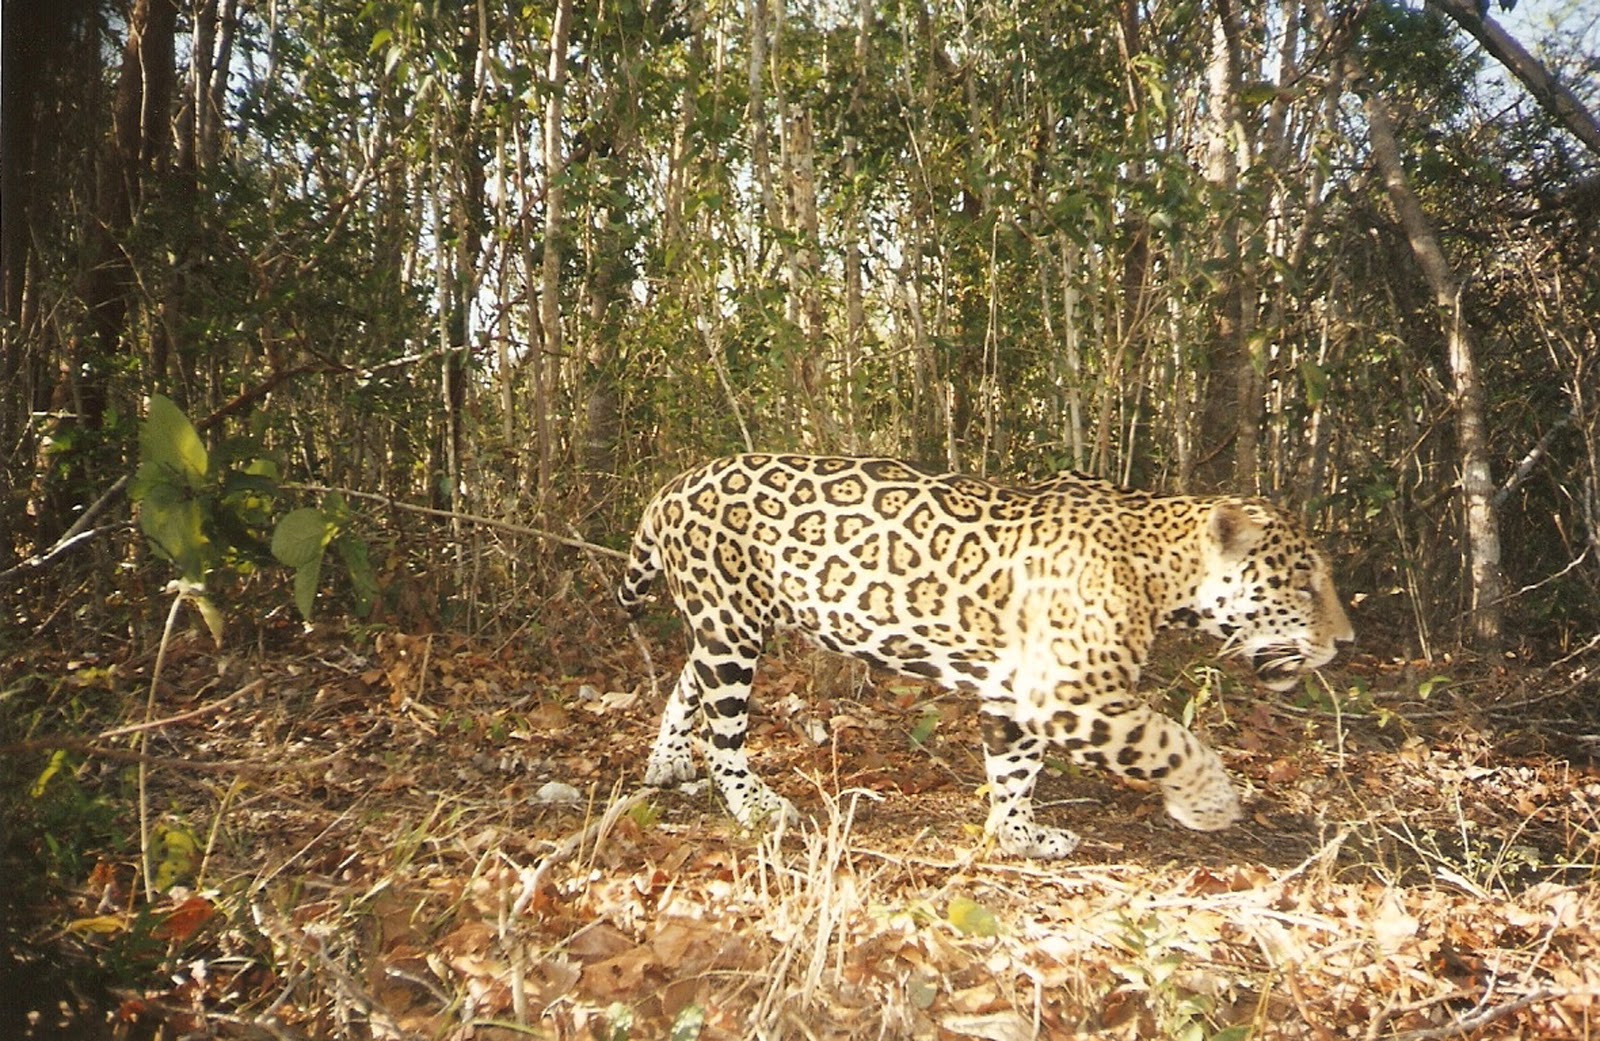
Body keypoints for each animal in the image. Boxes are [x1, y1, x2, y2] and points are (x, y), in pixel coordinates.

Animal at [617, 453, 1354, 859]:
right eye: (1303, 583)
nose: (1345, 643)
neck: (1159, 570)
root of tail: (672, 485)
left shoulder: (1016, 691)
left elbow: (1015, 770)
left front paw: (1019, 836)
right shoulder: (1073, 694)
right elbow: (1173, 741)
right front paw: (1211, 803)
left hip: (731, 623)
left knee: (689, 682)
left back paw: (666, 761)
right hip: (732, 625)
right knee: (724, 730)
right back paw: (756, 804)